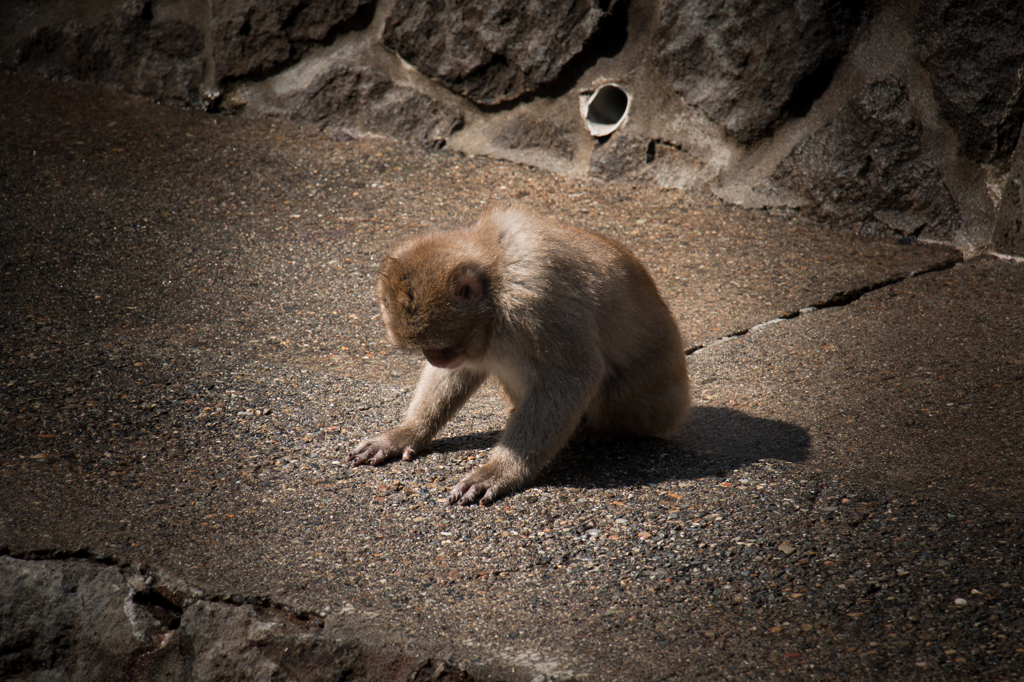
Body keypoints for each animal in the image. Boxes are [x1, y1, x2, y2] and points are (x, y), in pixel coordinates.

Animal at [348, 201, 692, 503]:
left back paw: (604, 431)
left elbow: (569, 380)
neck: (496, 278)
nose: (434, 359)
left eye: (438, 348)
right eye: (427, 351)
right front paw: (406, 433)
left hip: (646, 408)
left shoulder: (536, 300)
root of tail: (678, 407)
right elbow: (461, 371)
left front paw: (500, 472)